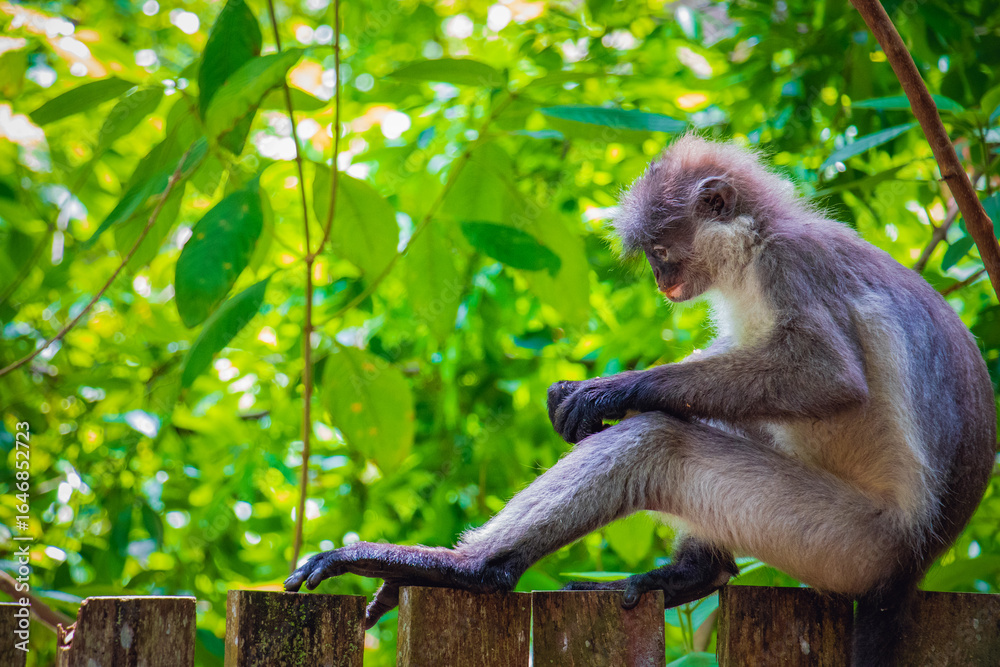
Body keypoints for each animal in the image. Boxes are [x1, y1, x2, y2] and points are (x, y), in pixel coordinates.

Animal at [285, 135, 996, 666]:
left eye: (660, 250)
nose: (661, 280)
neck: (755, 246)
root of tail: (914, 558)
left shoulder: (789, 262)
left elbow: (830, 378)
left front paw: (611, 389)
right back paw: (700, 572)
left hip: (844, 541)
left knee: (659, 438)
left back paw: (469, 567)